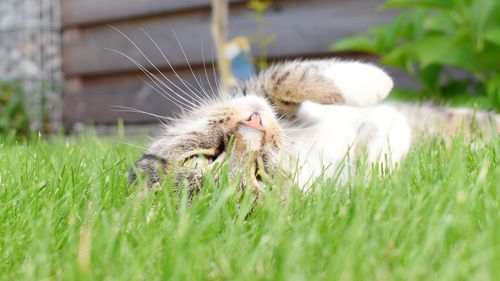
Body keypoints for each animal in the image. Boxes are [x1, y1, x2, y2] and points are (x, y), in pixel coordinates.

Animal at [129, 58, 410, 196]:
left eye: (196, 159)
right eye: (260, 175)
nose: (253, 123)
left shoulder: (256, 90)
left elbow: (284, 79)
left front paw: (374, 81)